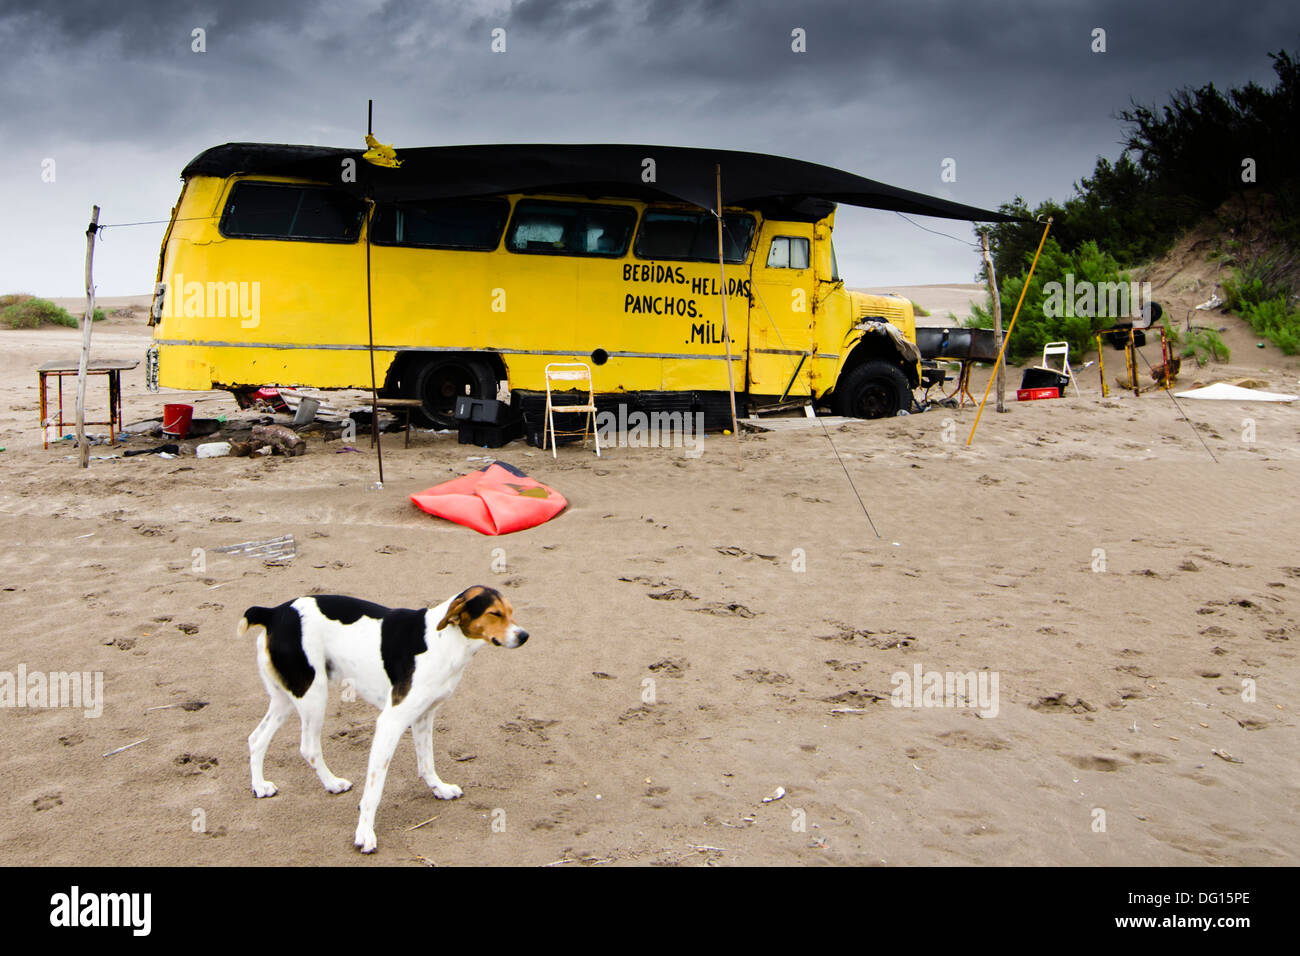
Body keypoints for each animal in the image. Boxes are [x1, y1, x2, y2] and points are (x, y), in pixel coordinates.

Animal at [239, 587, 527, 858]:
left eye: (511, 612)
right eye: (494, 613)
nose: (524, 635)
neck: (444, 640)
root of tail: (274, 612)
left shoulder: (423, 716)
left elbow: (427, 763)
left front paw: (440, 789)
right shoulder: (390, 722)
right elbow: (374, 791)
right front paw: (365, 833)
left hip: (285, 699)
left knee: (256, 738)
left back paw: (261, 786)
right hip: (313, 695)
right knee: (308, 748)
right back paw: (332, 783)